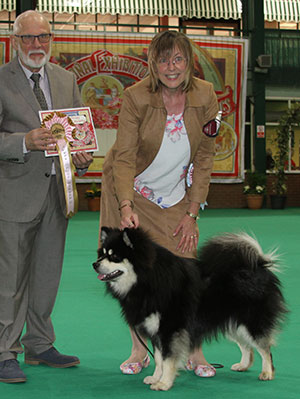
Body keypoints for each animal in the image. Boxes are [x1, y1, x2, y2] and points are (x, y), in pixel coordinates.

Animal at [92, 227, 288, 392]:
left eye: (114, 256)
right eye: (102, 254)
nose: (95, 264)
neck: (147, 280)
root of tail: (260, 265)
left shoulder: (169, 330)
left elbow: (167, 360)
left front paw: (164, 383)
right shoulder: (156, 332)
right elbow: (158, 359)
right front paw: (155, 378)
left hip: (251, 321)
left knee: (264, 348)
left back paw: (267, 372)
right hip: (233, 323)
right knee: (247, 346)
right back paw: (243, 365)